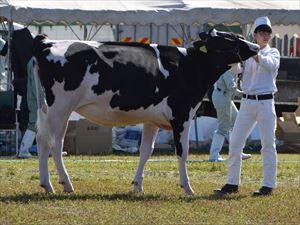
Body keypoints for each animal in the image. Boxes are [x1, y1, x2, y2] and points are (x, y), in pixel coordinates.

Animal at [31, 29, 258, 195]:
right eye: (227, 39)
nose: (256, 46)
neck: (189, 67)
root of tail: (47, 42)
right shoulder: (181, 115)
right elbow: (182, 151)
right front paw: (187, 188)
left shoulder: (152, 120)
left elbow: (146, 151)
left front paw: (137, 185)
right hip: (60, 108)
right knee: (54, 144)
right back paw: (63, 184)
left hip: (48, 109)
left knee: (43, 140)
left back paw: (47, 185)